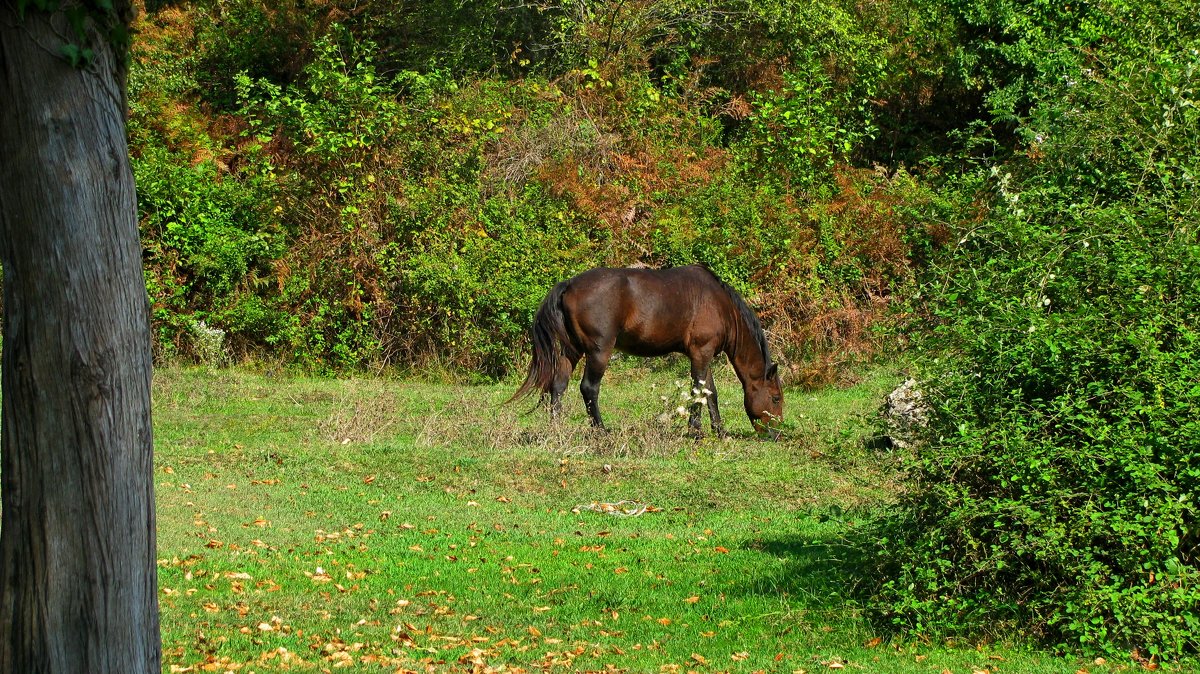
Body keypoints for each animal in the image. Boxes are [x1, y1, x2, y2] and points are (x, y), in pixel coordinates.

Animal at [508, 262, 782, 436]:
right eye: (776, 398)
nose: (775, 433)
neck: (720, 306)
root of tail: (568, 284)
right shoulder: (702, 352)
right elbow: (698, 391)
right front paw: (695, 431)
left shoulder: (703, 354)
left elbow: (709, 393)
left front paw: (719, 430)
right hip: (599, 351)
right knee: (588, 388)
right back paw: (601, 431)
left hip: (571, 351)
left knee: (558, 386)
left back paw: (557, 429)